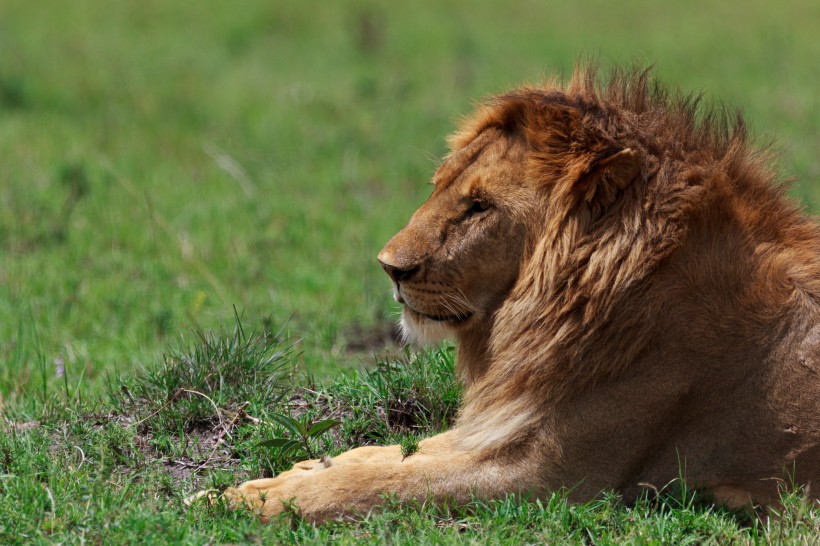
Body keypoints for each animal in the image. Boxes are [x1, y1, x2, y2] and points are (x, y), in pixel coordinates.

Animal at [218, 66, 820, 520]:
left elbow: (386, 483)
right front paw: (293, 471)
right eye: (440, 186)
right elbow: (395, 455)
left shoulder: (549, 476)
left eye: (479, 206)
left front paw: (244, 500)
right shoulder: (506, 423)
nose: (390, 268)